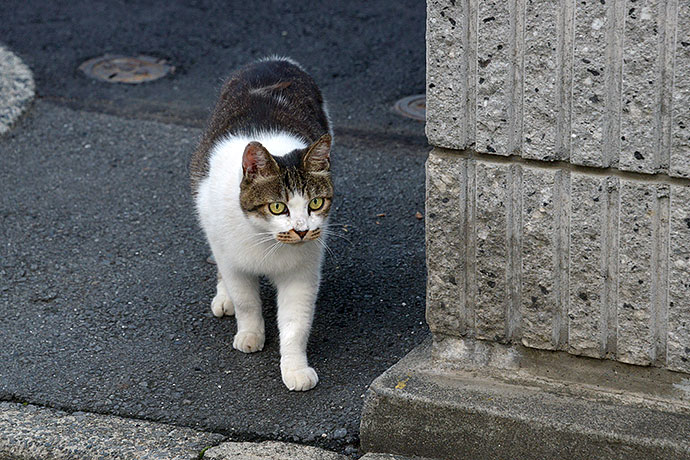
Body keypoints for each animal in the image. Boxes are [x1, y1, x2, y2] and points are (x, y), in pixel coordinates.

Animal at [189, 55, 332, 390]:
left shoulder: (302, 272)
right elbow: (246, 301)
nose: (302, 230)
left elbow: (296, 322)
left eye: (315, 203)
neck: (267, 240)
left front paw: (294, 368)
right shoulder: (233, 260)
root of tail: (274, 60)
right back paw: (223, 297)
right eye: (278, 207)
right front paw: (250, 334)